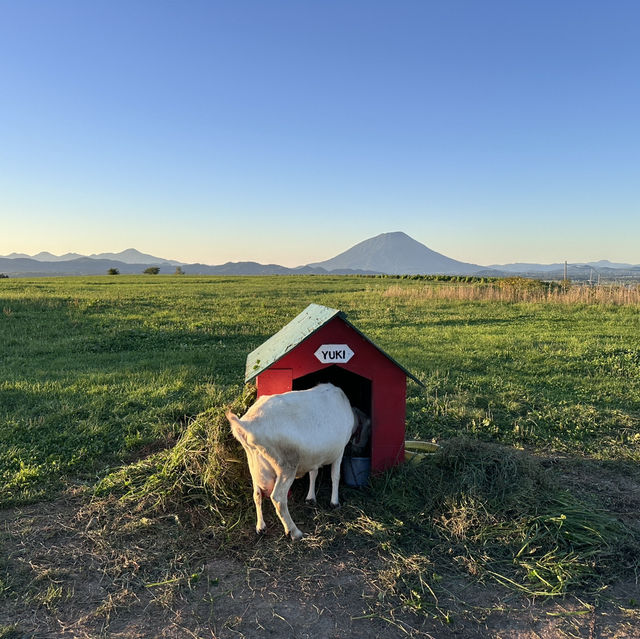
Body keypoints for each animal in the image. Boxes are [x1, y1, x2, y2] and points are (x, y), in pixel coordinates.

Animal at [226, 384, 364, 540]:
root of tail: (247, 425)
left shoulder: (314, 456)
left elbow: (313, 473)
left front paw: (310, 498)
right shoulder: (339, 451)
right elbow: (335, 476)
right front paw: (334, 502)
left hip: (254, 465)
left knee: (257, 494)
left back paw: (260, 527)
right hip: (286, 464)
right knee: (278, 498)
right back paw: (294, 532)